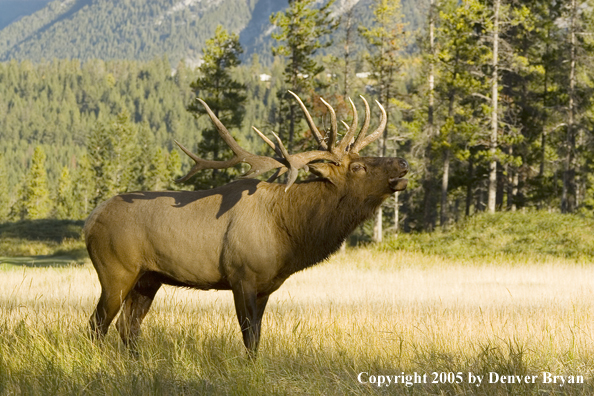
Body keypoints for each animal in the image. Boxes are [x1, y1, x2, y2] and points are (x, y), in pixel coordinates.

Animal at [84, 92, 408, 352]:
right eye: (358, 166)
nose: (403, 162)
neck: (290, 235)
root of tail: (90, 220)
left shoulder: (265, 287)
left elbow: (258, 337)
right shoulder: (242, 276)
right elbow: (249, 338)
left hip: (148, 278)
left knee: (128, 326)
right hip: (116, 271)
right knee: (96, 325)